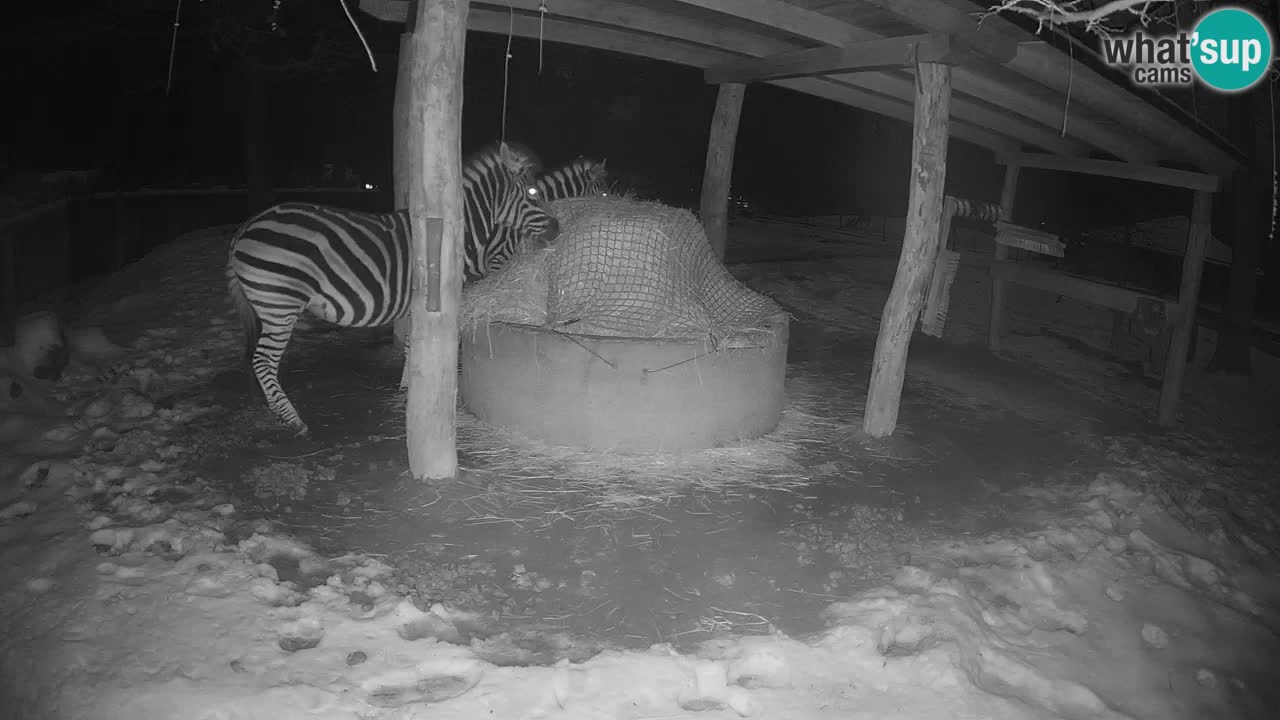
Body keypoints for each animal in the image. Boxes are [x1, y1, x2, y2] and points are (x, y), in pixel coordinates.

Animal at [226, 141, 557, 437]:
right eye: (532, 193)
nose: (557, 230)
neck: (456, 238)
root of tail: (247, 224)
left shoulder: (417, 303)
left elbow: (412, 343)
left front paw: (408, 385)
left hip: (267, 305)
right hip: (279, 304)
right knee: (263, 361)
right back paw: (294, 420)